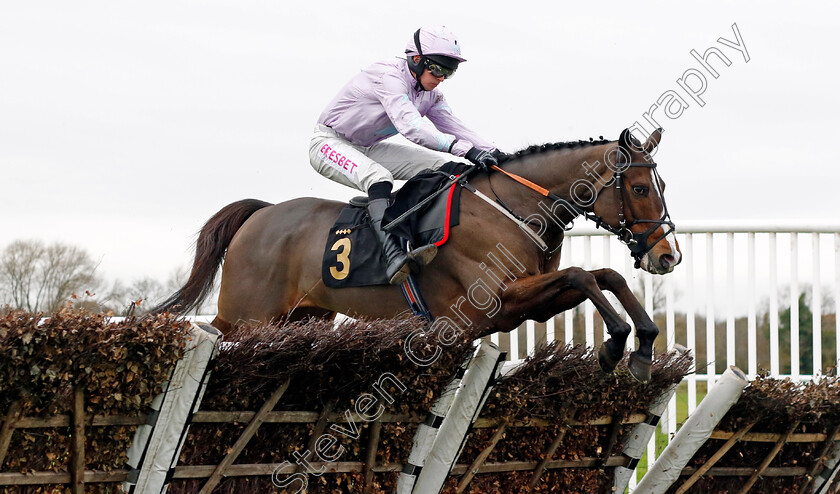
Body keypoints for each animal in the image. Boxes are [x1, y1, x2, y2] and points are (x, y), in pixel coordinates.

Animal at [156, 128, 684, 382]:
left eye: (663, 184)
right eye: (640, 188)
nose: (667, 256)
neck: (513, 207)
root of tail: (261, 214)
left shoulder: (523, 307)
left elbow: (606, 276)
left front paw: (641, 345)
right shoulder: (494, 302)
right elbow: (582, 274)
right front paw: (616, 343)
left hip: (301, 319)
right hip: (249, 319)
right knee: (211, 333)